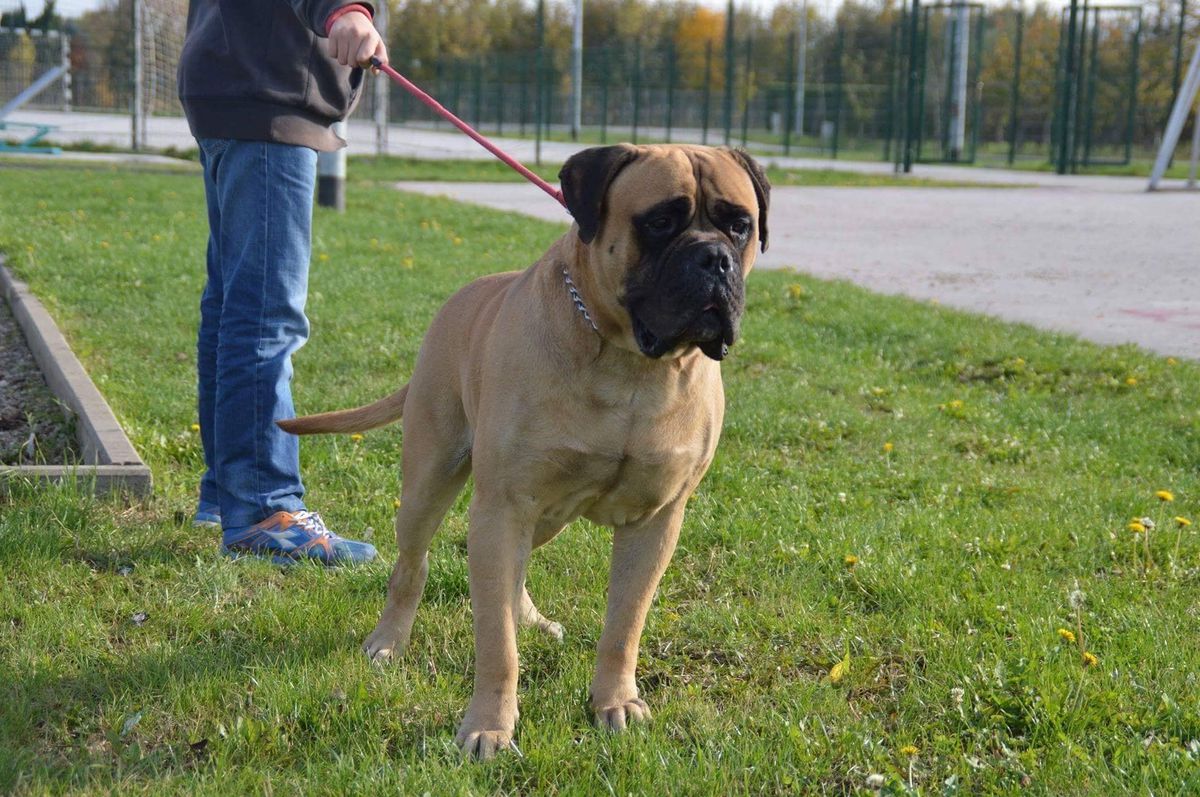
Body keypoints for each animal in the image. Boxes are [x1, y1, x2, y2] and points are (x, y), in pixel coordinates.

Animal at [279, 143, 768, 758]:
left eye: (739, 224)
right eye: (660, 221)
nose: (714, 259)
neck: (630, 363)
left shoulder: (656, 520)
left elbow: (624, 625)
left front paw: (614, 702)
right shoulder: (502, 507)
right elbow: (496, 643)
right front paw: (489, 725)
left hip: (544, 514)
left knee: (516, 573)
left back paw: (530, 619)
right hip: (430, 484)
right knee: (413, 567)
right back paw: (389, 640)